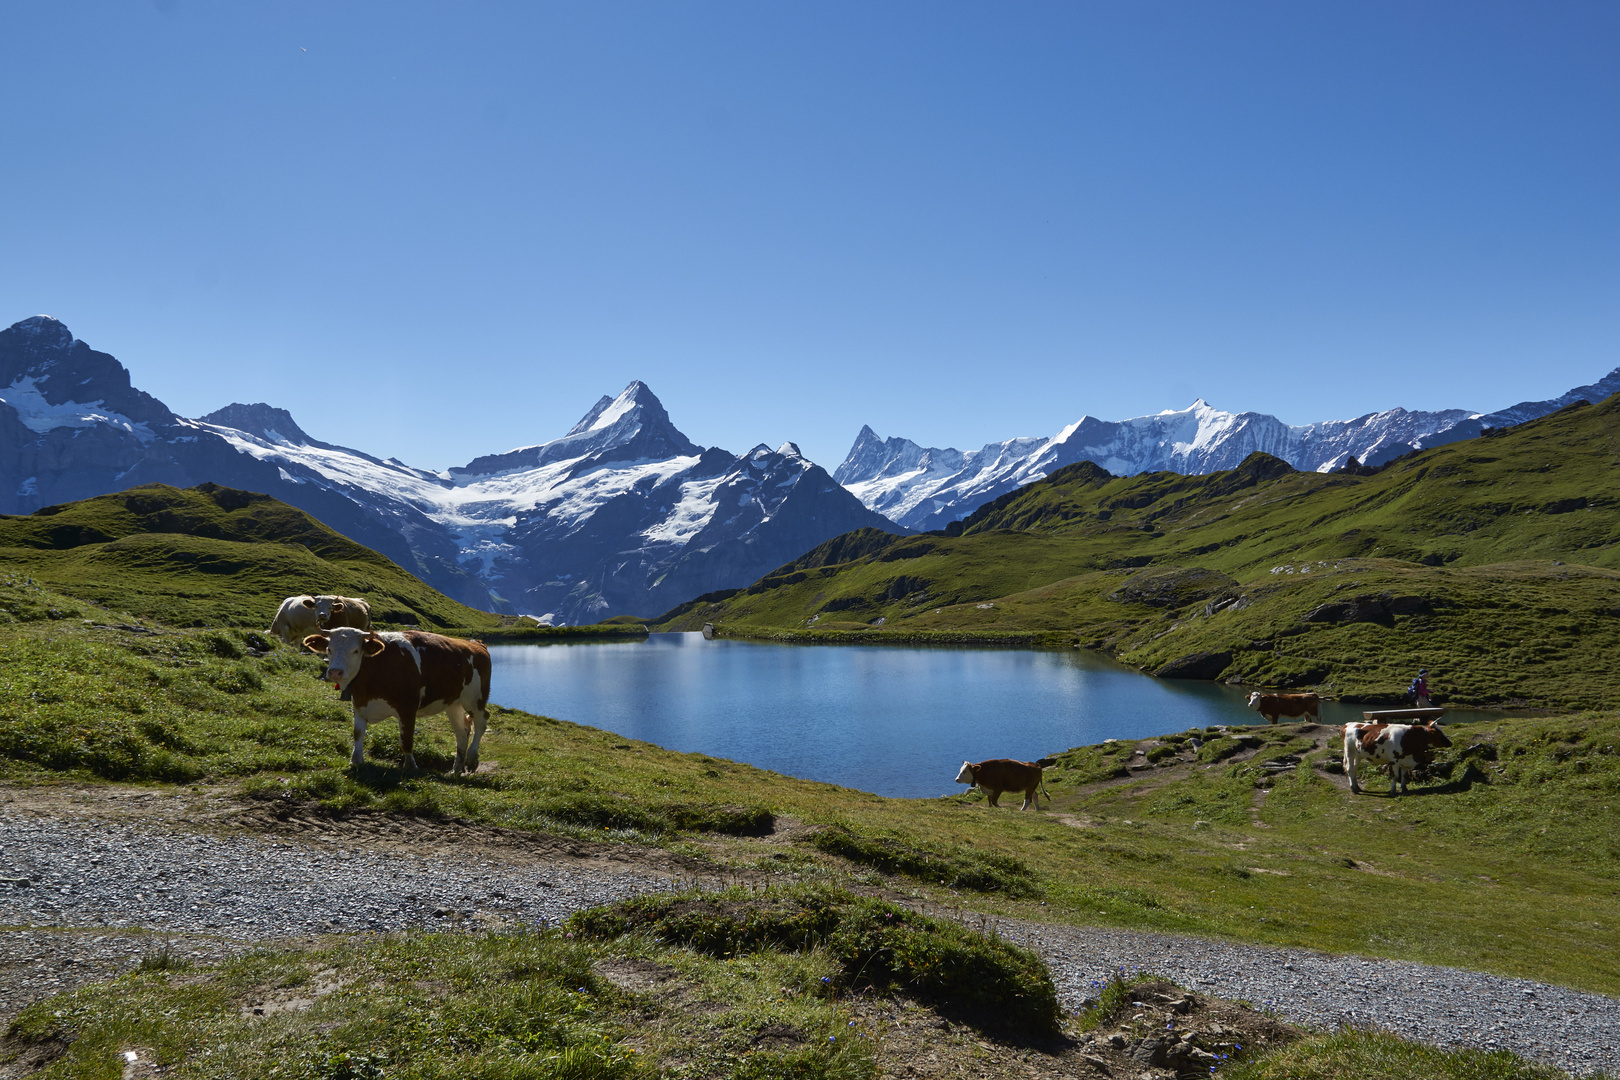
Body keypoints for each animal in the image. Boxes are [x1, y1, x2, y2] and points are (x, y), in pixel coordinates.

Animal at [304, 625, 489, 777]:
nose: (335, 672)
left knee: (481, 721)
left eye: (355, 650)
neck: (375, 666)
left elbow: (406, 740)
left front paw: (410, 766)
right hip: (453, 703)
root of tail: (475, 644)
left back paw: (472, 759)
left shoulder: (407, 707)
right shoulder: (359, 703)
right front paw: (355, 760)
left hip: (475, 699)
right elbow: (358, 733)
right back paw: (456, 769)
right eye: (329, 649)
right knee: (462, 732)